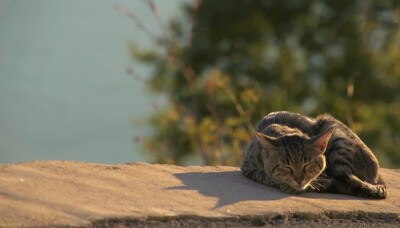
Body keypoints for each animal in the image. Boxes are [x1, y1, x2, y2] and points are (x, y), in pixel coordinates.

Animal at [241, 111, 388, 199]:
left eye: (307, 165)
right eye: (287, 167)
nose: (299, 180)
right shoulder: (247, 168)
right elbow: (264, 176)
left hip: (337, 137)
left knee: (352, 181)